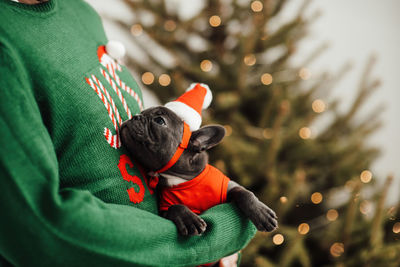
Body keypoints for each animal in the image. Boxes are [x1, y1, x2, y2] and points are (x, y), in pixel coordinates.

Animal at [119, 107, 278, 237]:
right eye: (141, 112)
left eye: (159, 120)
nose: (135, 116)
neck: (181, 178)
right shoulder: (164, 210)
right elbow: (175, 207)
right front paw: (189, 220)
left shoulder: (226, 186)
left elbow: (244, 192)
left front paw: (262, 214)